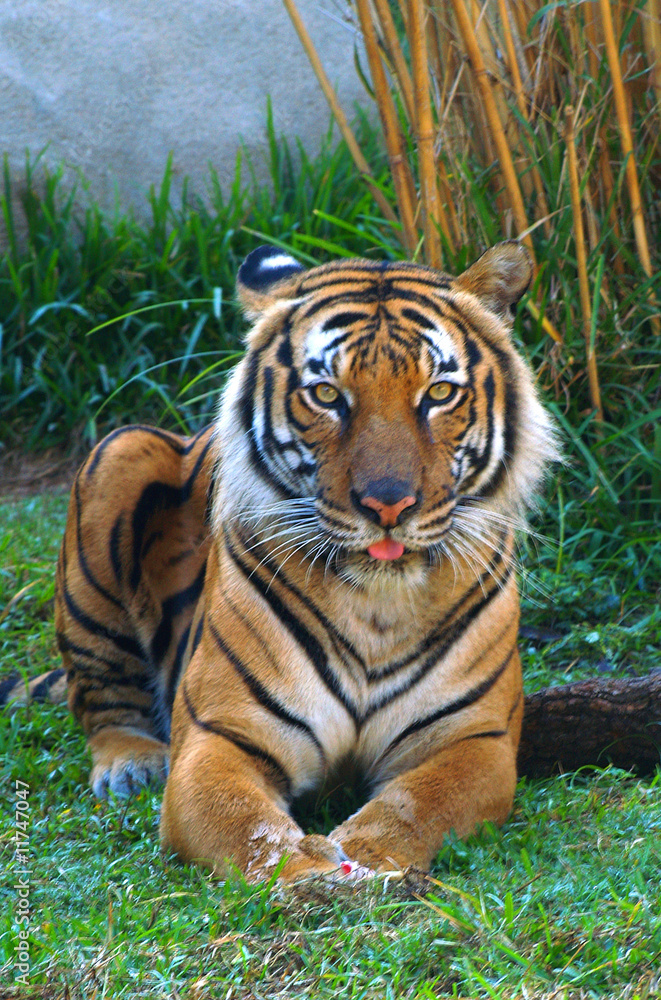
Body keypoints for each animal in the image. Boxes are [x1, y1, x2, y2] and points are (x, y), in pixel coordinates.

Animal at [6, 241, 558, 882]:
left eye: (440, 394)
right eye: (327, 395)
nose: (388, 504)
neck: (377, 605)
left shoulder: (474, 740)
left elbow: (417, 804)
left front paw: (364, 856)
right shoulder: (221, 735)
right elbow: (246, 824)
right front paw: (308, 874)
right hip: (120, 450)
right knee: (99, 695)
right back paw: (132, 765)